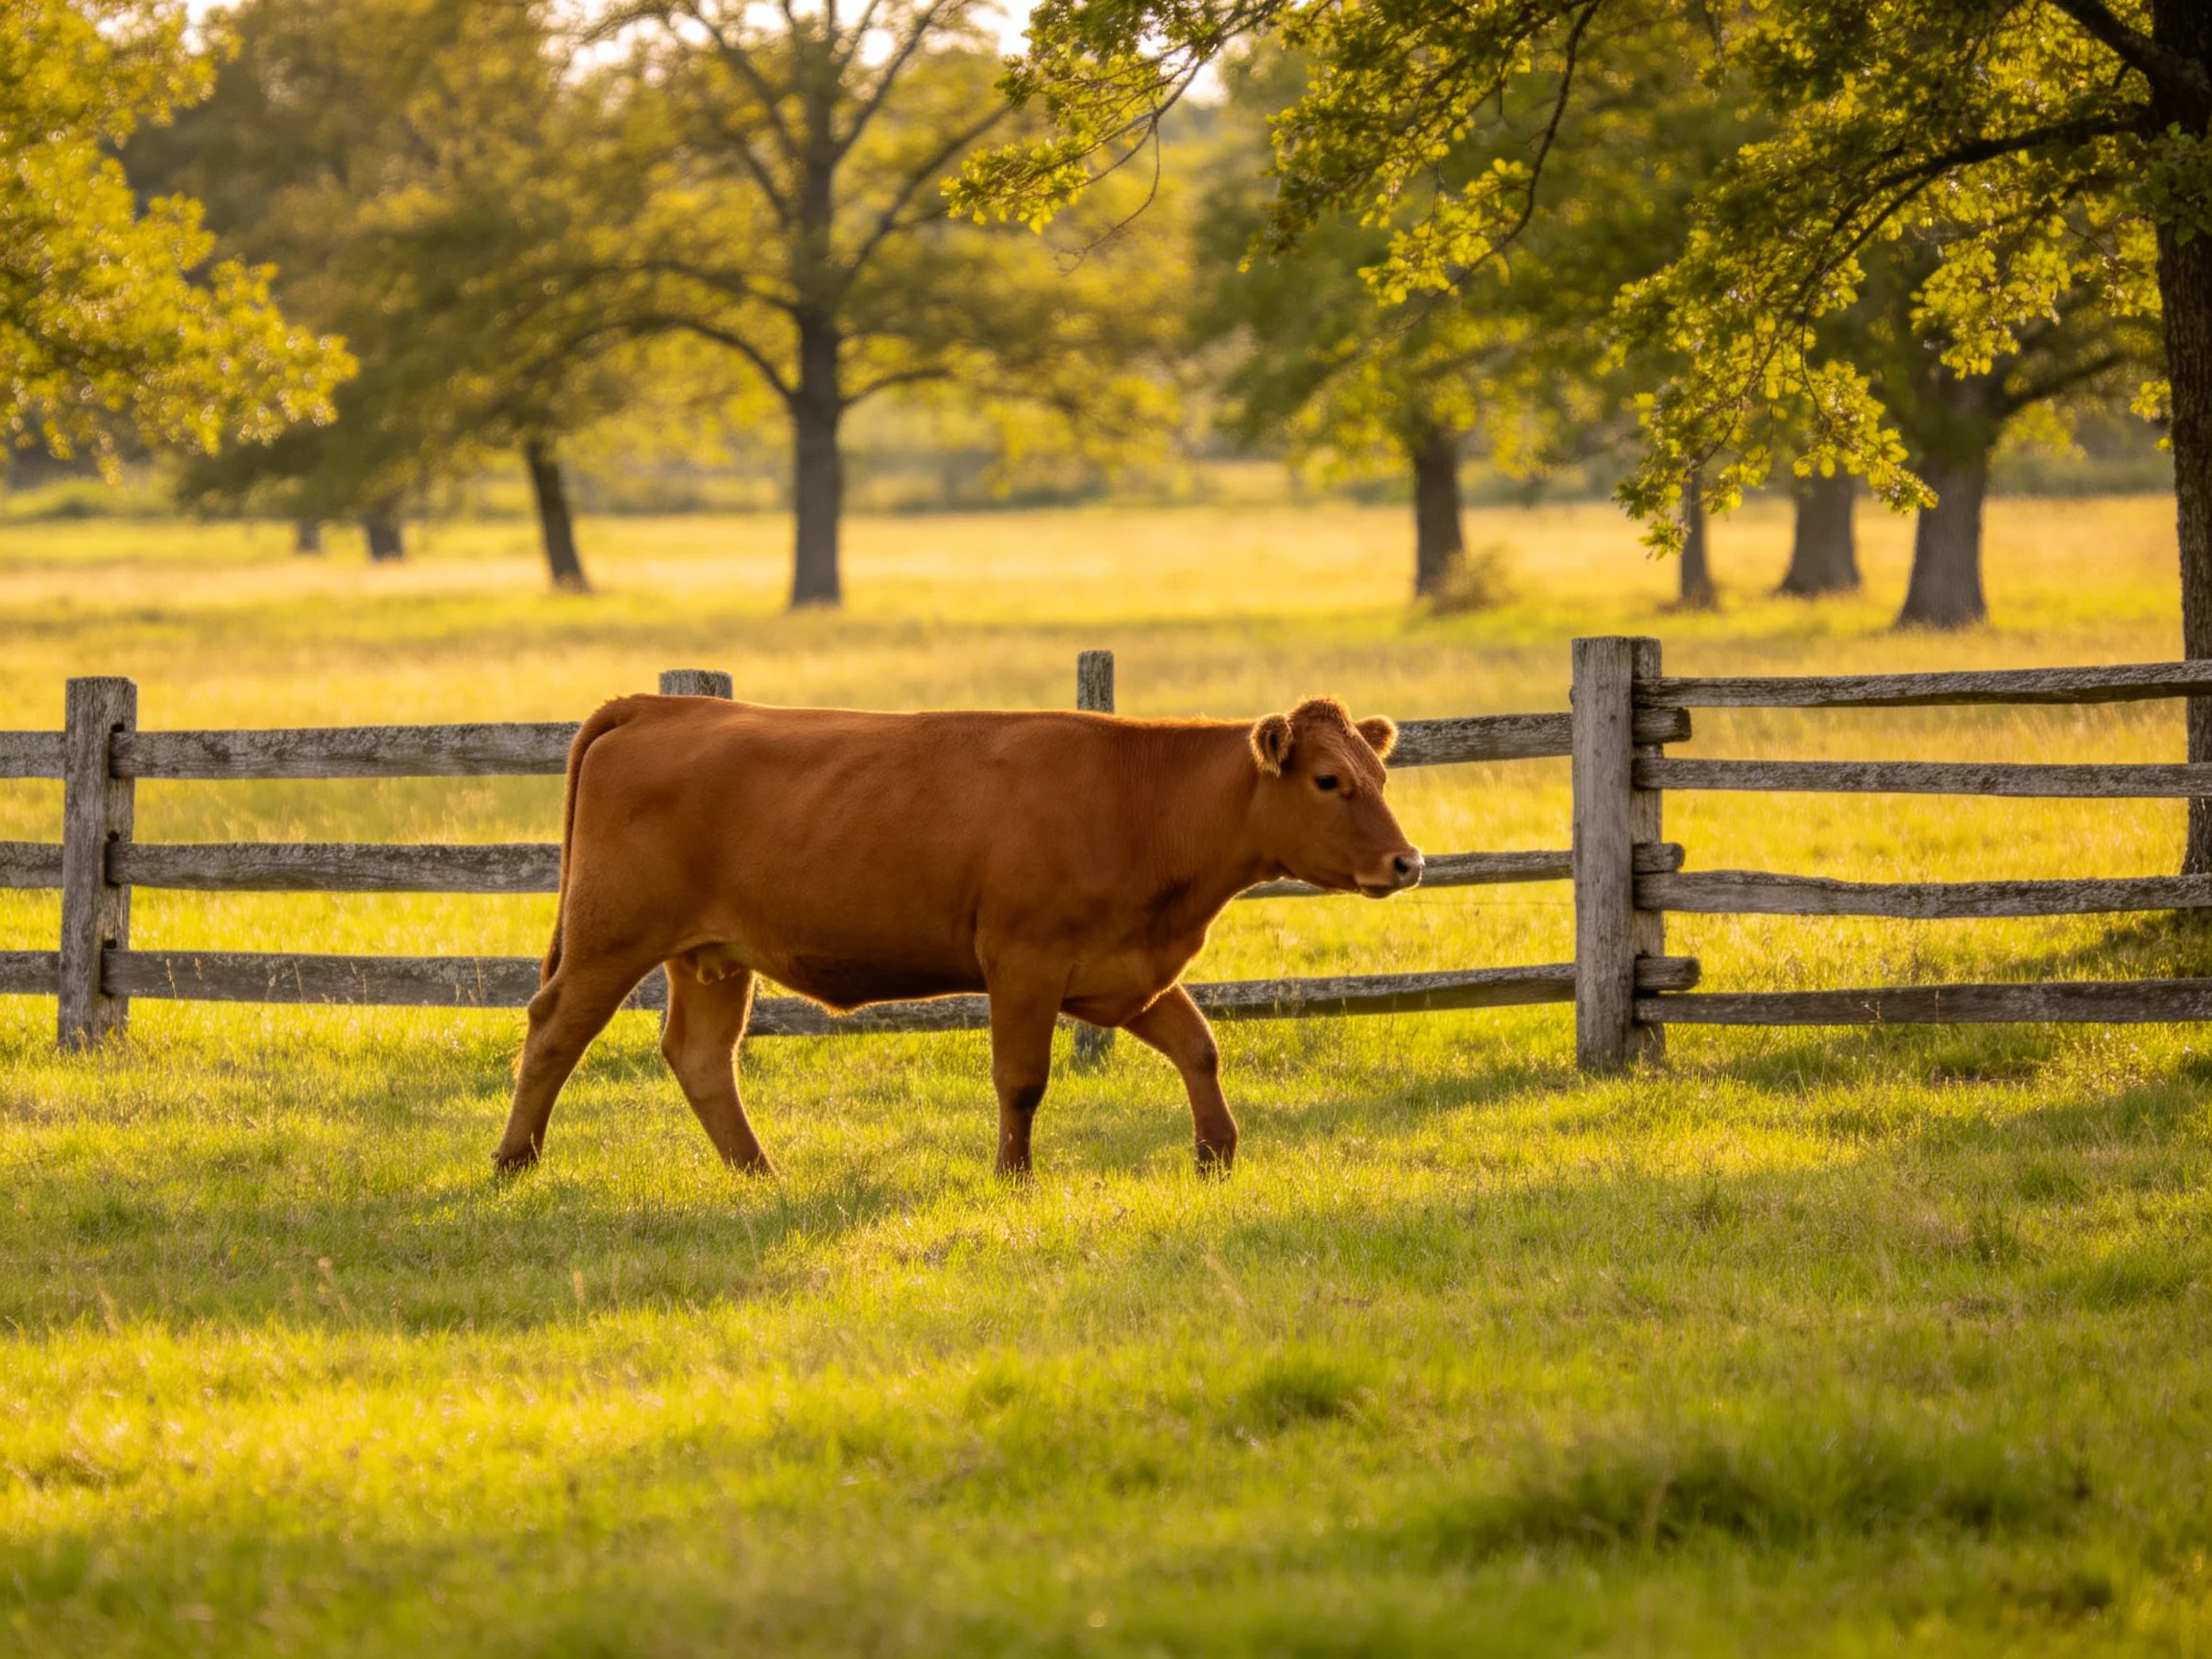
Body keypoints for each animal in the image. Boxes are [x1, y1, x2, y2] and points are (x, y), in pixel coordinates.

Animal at [493, 693, 1424, 1179]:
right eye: (1329, 780)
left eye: (1381, 776)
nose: (1408, 861)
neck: (1139, 800)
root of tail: (665, 706)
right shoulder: (1025, 963)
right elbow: (1022, 1081)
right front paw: (1013, 1177)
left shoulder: (1122, 971)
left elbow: (1199, 1046)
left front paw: (1216, 1155)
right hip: (612, 939)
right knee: (554, 1032)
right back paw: (515, 1159)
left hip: (712, 959)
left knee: (700, 1056)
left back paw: (758, 1172)